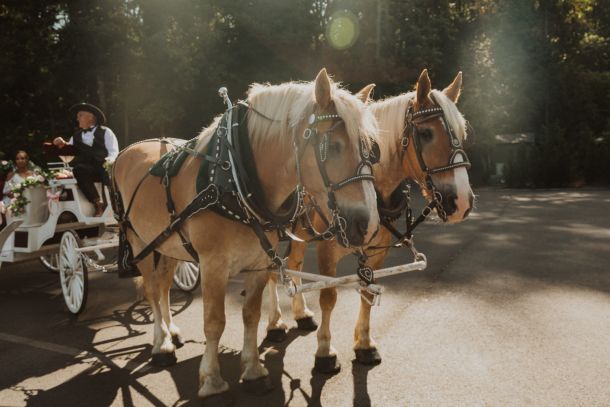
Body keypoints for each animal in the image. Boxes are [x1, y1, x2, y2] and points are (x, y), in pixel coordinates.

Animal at [110, 68, 378, 400]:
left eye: (372, 150)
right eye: (334, 146)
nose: (368, 224)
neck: (235, 178)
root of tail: (127, 151)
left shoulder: (259, 262)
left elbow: (251, 314)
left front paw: (252, 369)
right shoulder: (212, 265)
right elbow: (214, 321)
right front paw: (212, 379)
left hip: (169, 243)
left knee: (163, 286)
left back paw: (172, 333)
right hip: (139, 242)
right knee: (150, 289)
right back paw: (162, 345)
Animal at [268, 70, 476, 372]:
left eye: (462, 133)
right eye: (426, 133)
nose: (461, 202)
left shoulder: (376, 254)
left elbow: (367, 293)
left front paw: (364, 344)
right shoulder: (327, 251)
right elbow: (328, 297)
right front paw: (325, 351)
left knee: (293, 263)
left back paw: (301, 313)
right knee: (273, 272)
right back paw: (274, 322)